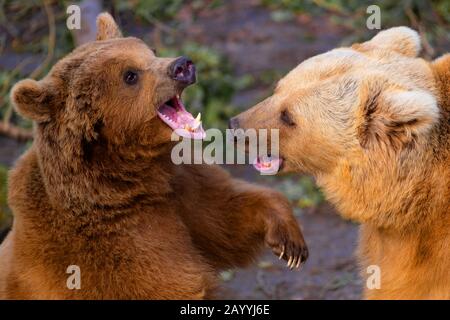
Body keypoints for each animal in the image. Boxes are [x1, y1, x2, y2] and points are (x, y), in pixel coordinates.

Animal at [0, 13, 310, 300]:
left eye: (150, 50)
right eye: (130, 75)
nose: (182, 65)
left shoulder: (180, 187)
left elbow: (225, 217)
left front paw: (290, 244)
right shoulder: (115, 244)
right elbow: (171, 281)